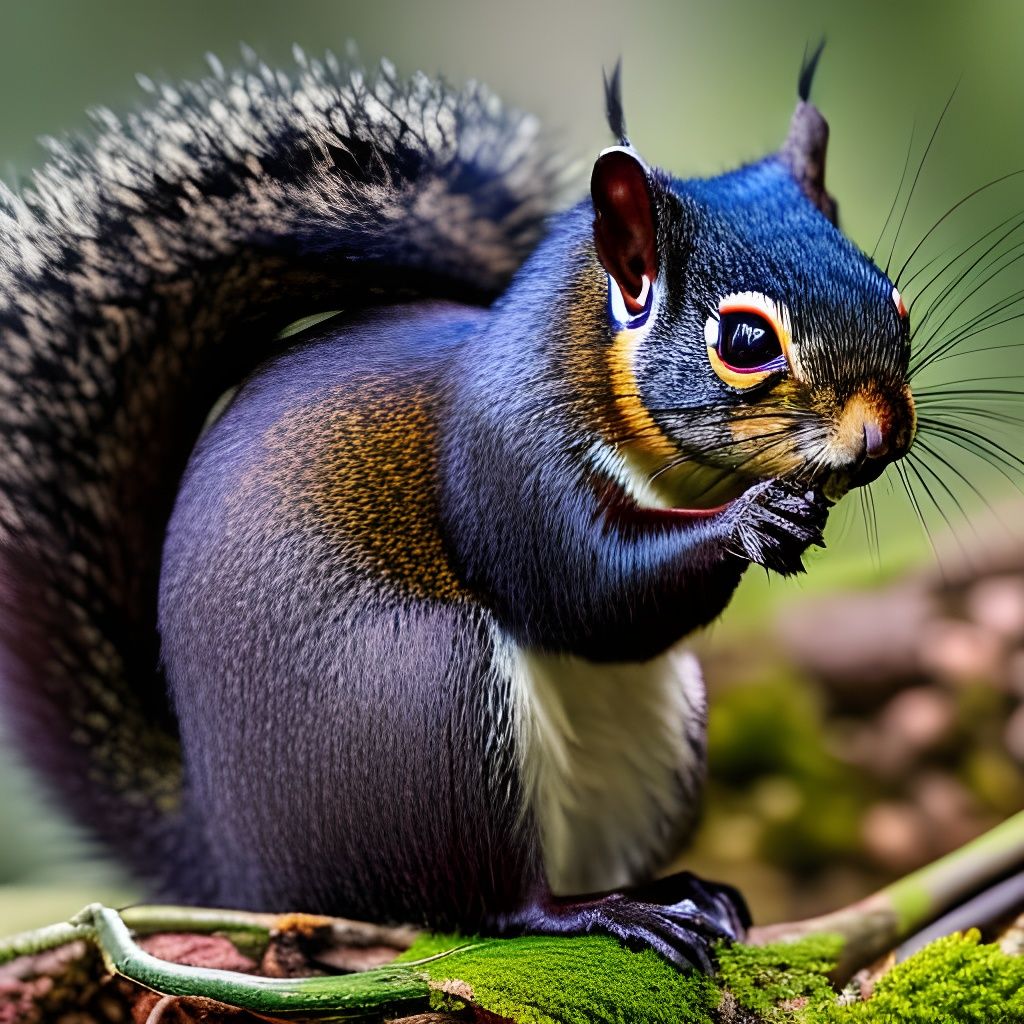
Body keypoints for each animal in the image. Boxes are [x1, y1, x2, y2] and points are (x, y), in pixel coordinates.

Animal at [0, 45, 916, 971]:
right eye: (746, 341)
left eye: (896, 303)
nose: (882, 432)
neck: (587, 354)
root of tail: (243, 868)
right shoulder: (504, 457)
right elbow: (586, 593)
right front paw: (754, 523)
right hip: (429, 708)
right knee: (492, 906)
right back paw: (607, 913)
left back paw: (673, 888)